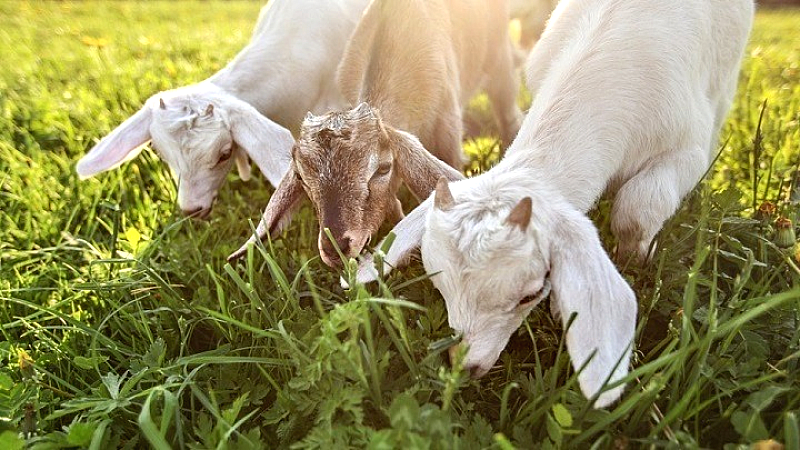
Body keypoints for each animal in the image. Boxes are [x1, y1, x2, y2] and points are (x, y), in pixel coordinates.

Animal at [354, 0, 752, 408]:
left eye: (530, 293)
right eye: (438, 283)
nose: (466, 367)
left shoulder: (689, 147)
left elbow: (637, 210)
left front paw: (637, 258)